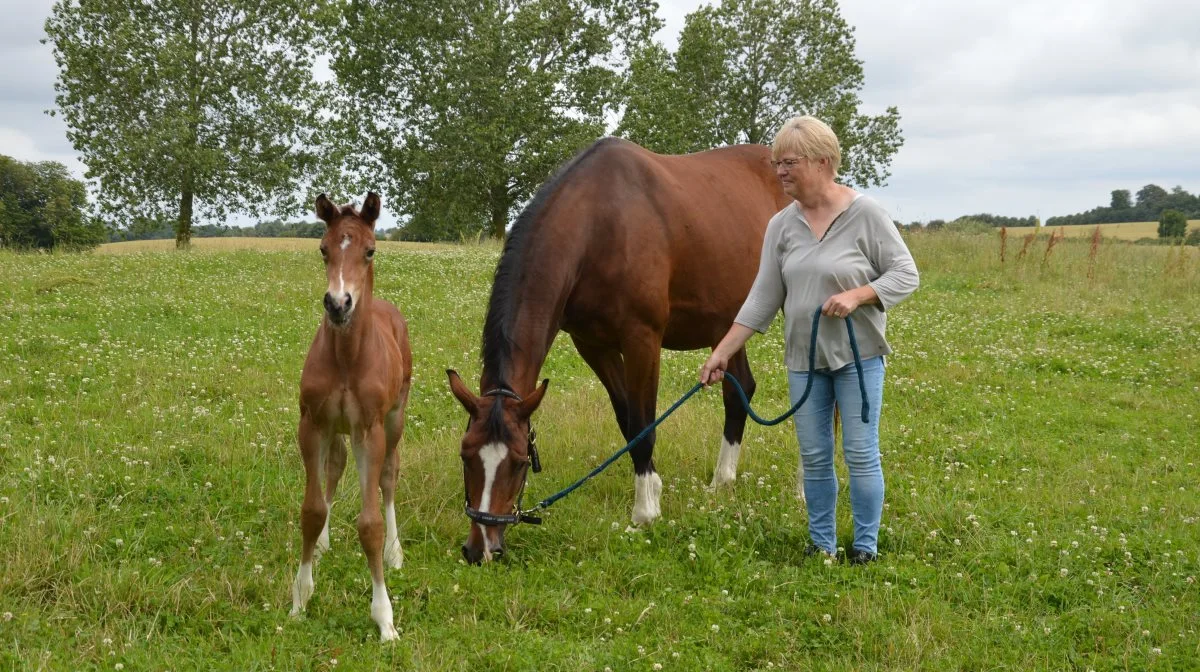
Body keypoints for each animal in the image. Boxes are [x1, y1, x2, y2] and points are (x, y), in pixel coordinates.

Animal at [289, 193, 412, 638]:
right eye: (323, 249)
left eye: (370, 249)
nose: (338, 304)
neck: (346, 358)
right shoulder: (312, 423)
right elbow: (311, 511)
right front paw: (300, 599)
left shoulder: (369, 429)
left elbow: (369, 523)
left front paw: (385, 619)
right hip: (337, 429)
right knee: (335, 468)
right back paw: (326, 544)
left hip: (394, 420)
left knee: (389, 475)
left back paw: (395, 551)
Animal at [446, 138, 792, 561]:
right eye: (466, 455)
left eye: (517, 461)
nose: (480, 549)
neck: (600, 224)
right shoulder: (593, 345)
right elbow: (627, 419)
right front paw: (654, 488)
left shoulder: (642, 339)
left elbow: (643, 425)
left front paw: (645, 511)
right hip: (726, 323)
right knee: (738, 390)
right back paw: (722, 481)